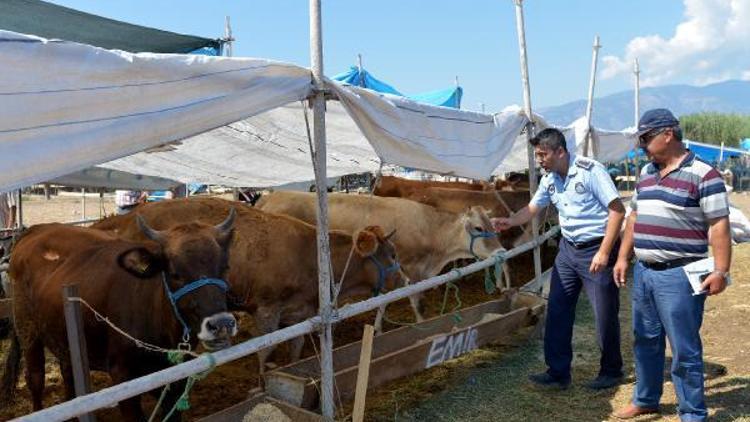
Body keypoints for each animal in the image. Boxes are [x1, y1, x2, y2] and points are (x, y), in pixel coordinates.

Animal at [2, 211, 238, 422]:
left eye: (224, 267)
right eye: (175, 273)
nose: (221, 324)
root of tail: (36, 229)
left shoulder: (176, 381)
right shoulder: (122, 376)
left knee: (68, 373)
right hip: (27, 330)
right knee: (35, 378)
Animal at [95, 198, 406, 372]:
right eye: (391, 254)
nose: (404, 280)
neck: (309, 253)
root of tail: (119, 220)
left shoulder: (301, 312)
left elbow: (295, 345)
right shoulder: (267, 309)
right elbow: (264, 349)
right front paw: (261, 384)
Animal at [256, 190, 508, 332]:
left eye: (493, 224)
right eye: (479, 228)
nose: (501, 251)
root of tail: (271, 196)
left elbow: (385, 299)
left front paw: (377, 327)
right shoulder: (410, 269)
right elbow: (417, 302)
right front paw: (421, 326)